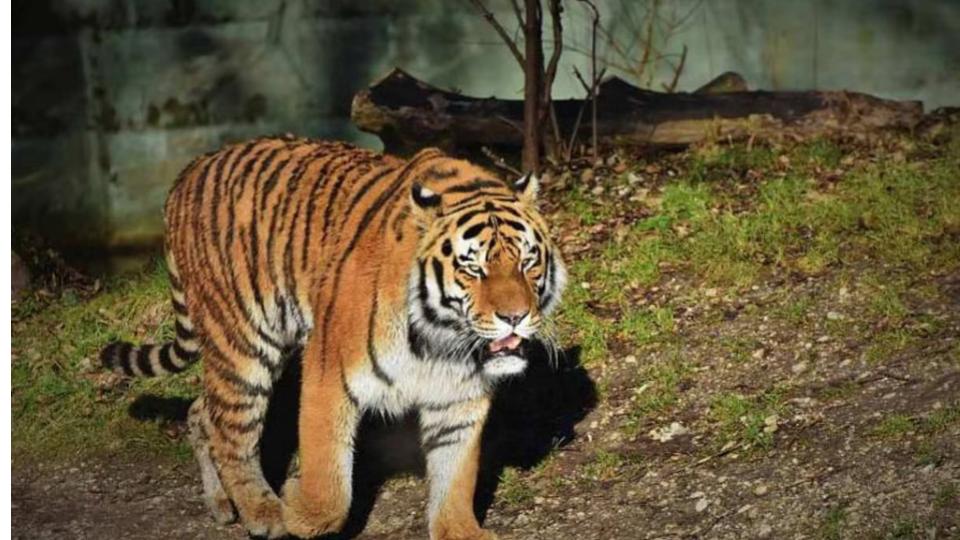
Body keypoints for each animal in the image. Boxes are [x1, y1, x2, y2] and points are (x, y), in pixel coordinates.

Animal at [100, 136, 567, 539]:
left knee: (202, 412)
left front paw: (460, 531)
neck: (441, 339)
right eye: (474, 268)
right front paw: (296, 507)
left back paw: (222, 504)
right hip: (243, 344)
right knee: (232, 432)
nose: (515, 317)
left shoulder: (458, 398)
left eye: (528, 261)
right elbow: (330, 483)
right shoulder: (329, 373)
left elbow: (455, 478)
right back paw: (263, 512)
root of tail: (191, 169)